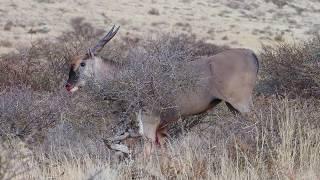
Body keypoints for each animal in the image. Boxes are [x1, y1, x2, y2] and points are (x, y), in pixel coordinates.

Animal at [65, 25, 260, 155]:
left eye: (82, 63)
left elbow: (146, 151)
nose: (68, 85)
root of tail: (251, 54)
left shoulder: (149, 122)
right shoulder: (161, 128)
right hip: (232, 107)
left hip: (241, 103)